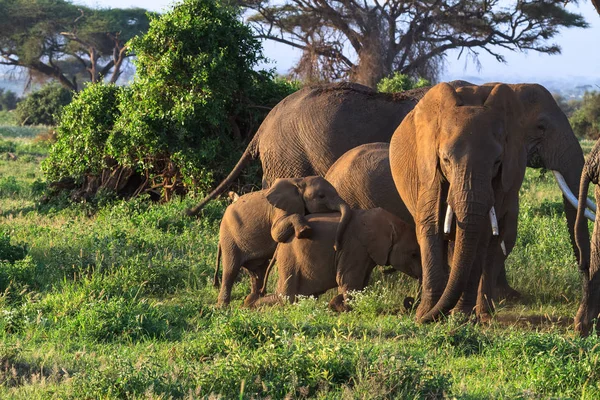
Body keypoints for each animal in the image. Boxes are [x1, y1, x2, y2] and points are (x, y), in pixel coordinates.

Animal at [253, 208, 422, 310]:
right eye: (414, 254)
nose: (409, 301)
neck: (390, 223)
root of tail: (279, 246)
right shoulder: (354, 247)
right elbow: (347, 280)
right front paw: (347, 309)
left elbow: (361, 283)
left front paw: (339, 305)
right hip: (289, 259)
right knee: (287, 297)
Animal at [390, 83, 524, 324]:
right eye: (445, 160)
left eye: (497, 162)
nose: (410, 308)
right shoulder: (427, 169)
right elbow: (430, 225)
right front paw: (426, 314)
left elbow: (481, 235)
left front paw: (460, 317)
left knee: (493, 250)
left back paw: (484, 315)